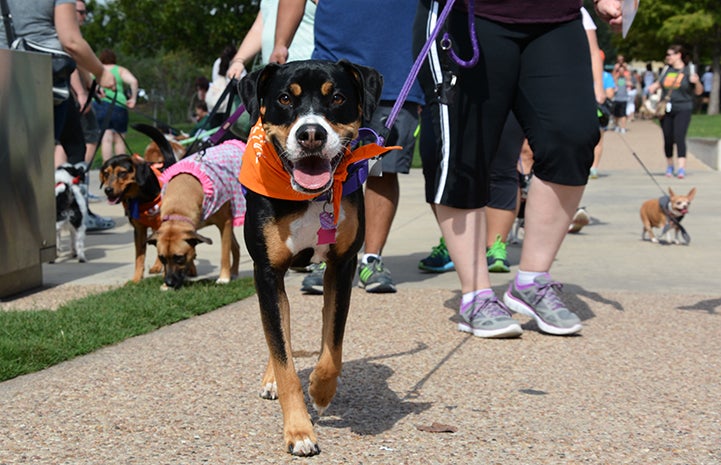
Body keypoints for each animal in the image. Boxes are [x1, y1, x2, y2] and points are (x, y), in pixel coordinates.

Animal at [148, 140, 246, 288]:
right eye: (162, 258)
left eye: (179, 258)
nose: (169, 282)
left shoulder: (224, 222)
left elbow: (224, 253)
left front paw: (223, 278)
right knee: (236, 247)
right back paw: (234, 272)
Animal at [236, 59, 394, 454]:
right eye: (283, 98)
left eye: (336, 97)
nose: (311, 134)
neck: (307, 197)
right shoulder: (266, 272)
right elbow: (283, 357)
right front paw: (299, 431)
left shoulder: (341, 266)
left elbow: (332, 345)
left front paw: (321, 391)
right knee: (281, 334)